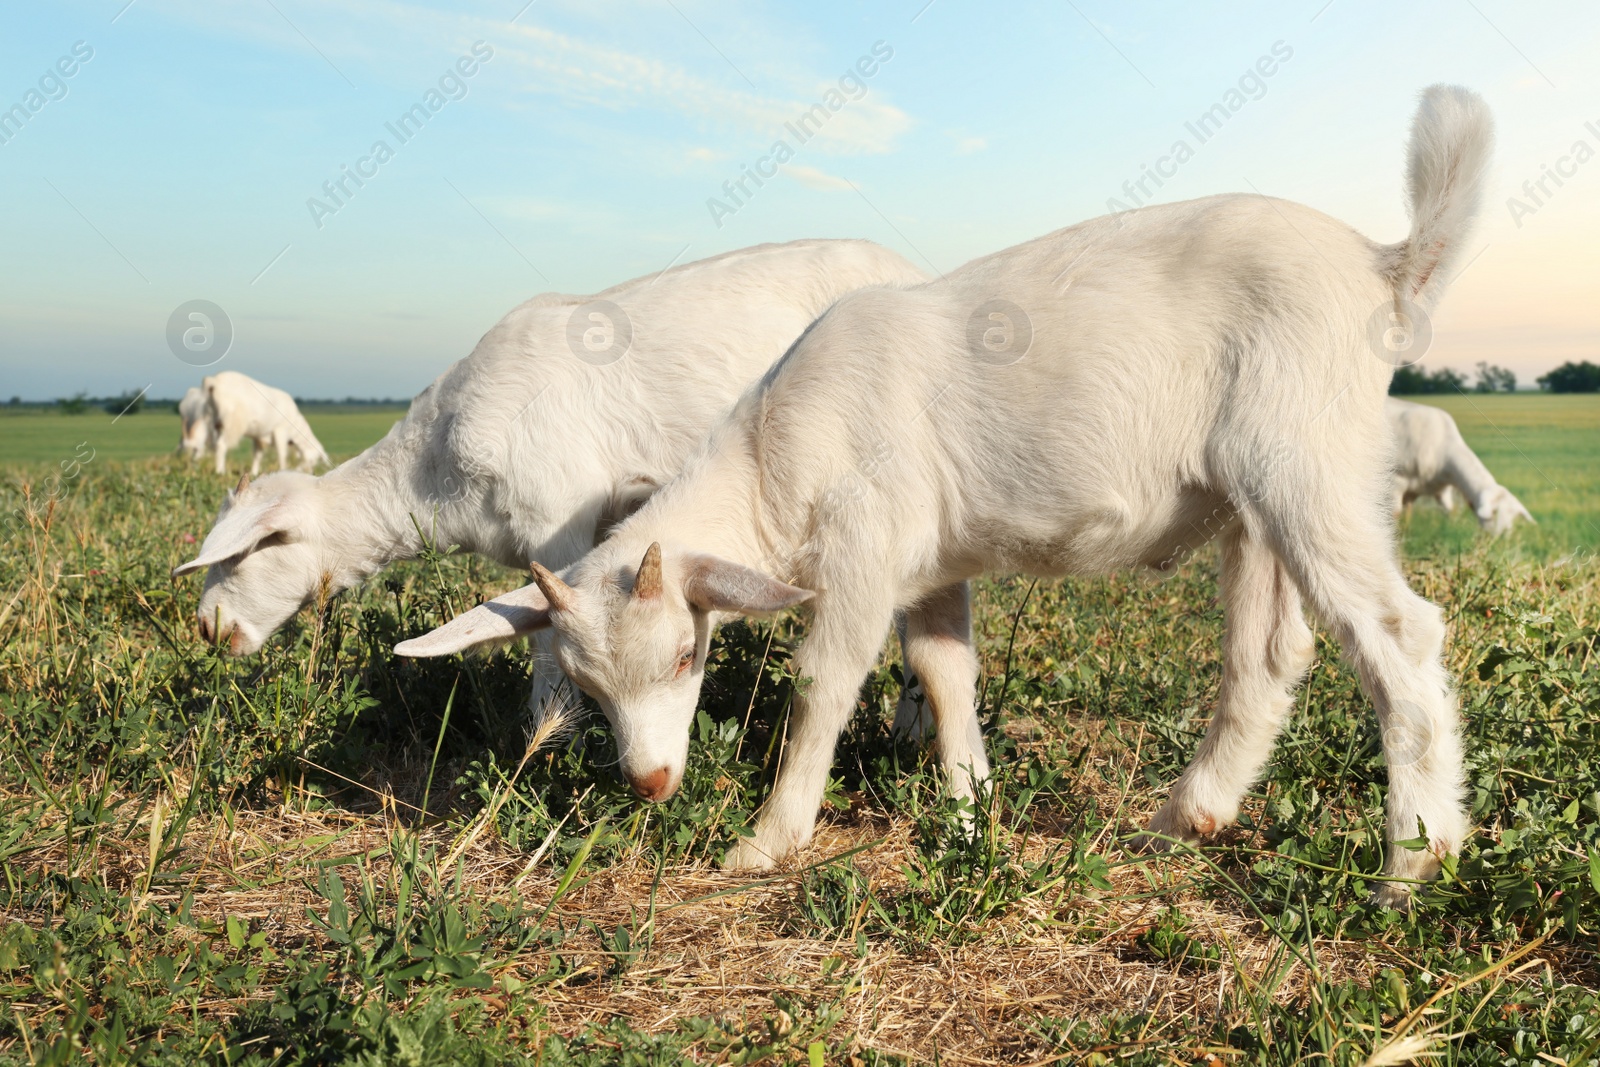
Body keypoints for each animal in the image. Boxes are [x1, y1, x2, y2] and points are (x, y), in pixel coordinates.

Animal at [200, 374, 331, 476]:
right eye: (313, 461)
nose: (311, 473)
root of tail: (214, 382)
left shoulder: (259, 437)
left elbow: (257, 455)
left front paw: (253, 472)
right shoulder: (280, 431)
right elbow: (282, 454)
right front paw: (283, 471)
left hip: (213, 421)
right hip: (230, 423)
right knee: (221, 445)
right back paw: (220, 471)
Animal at [396, 85, 1484, 908]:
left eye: (683, 654)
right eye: (584, 688)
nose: (652, 783)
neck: (776, 455)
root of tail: (1383, 264)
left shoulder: (864, 549)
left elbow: (824, 681)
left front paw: (770, 836)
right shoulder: (927, 563)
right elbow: (946, 670)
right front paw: (968, 807)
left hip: (1307, 462)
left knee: (1400, 636)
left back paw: (1411, 863)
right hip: (1254, 500)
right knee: (1267, 655)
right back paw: (1187, 816)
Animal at [1382, 398, 1529, 537]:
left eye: (1513, 519)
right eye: (1494, 513)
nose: (1502, 539)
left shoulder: (1439, 490)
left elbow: (1449, 511)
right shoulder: (1397, 483)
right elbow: (1395, 515)